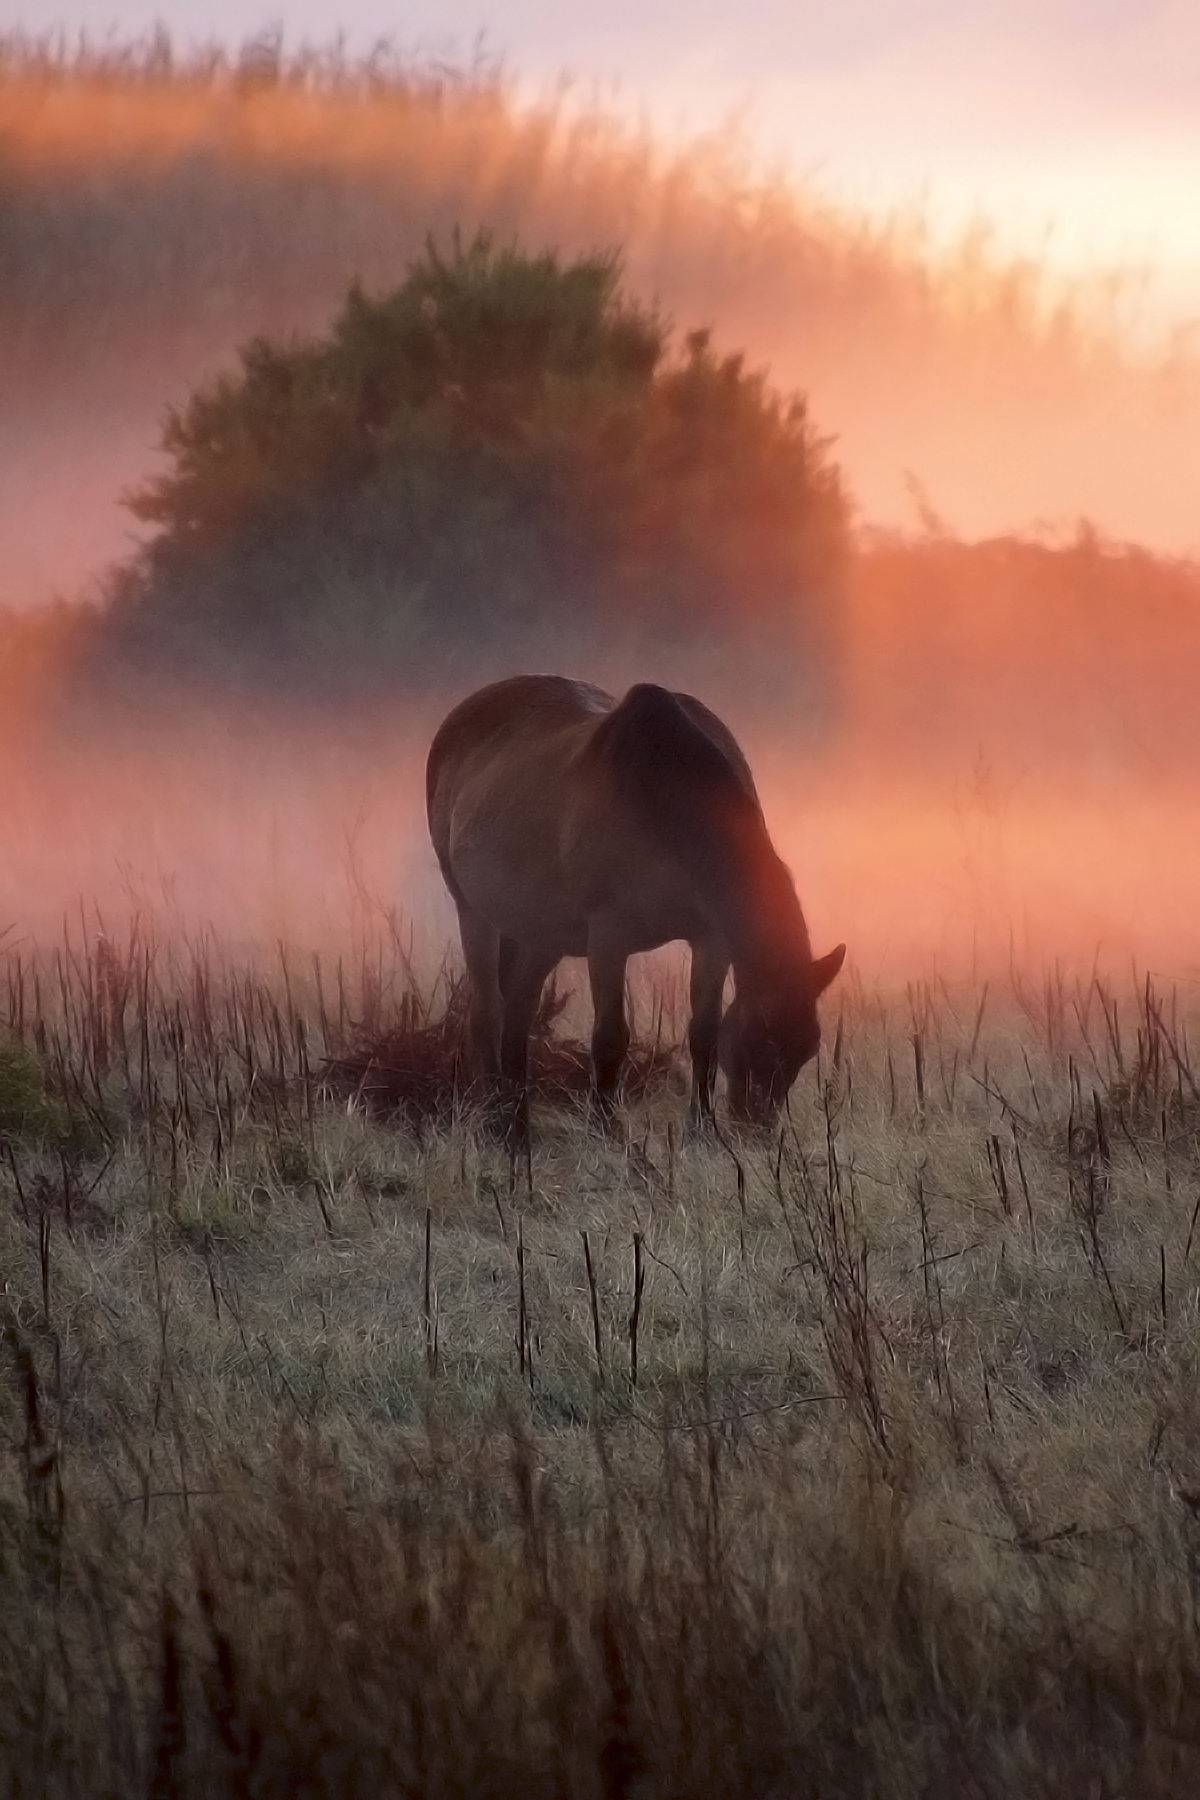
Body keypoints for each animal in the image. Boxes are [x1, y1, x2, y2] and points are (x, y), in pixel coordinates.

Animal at [426, 675, 844, 1135]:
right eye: (758, 1038)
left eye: (806, 1050)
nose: (756, 1132)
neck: (661, 795)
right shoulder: (608, 938)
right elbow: (610, 1039)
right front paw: (606, 1131)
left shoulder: (711, 939)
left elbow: (704, 1034)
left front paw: (701, 1131)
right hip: (474, 913)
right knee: (487, 1014)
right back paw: (493, 1122)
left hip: (540, 934)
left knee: (518, 1014)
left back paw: (516, 1125)